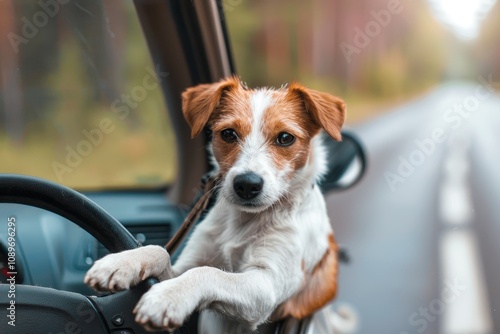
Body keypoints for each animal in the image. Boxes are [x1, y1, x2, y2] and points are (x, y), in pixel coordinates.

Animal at [84, 77, 346, 332]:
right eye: (228, 134)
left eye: (285, 138)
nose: (247, 184)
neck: (245, 221)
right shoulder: (183, 266)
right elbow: (161, 252)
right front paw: (121, 262)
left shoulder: (266, 286)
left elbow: (210, 273)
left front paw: (168, 297)